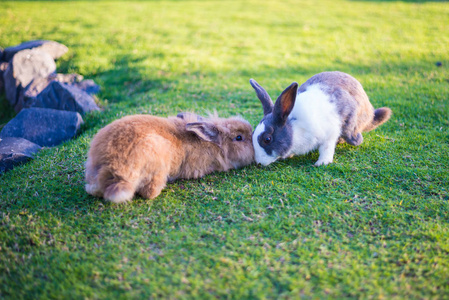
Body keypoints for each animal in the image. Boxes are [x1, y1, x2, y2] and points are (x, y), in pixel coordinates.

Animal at [250, 72, 390, 168]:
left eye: (267, 139)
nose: (258, 162)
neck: (294, 128)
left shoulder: (329, 134)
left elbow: (326, 148)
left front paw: (322, 163)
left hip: (351, 126)